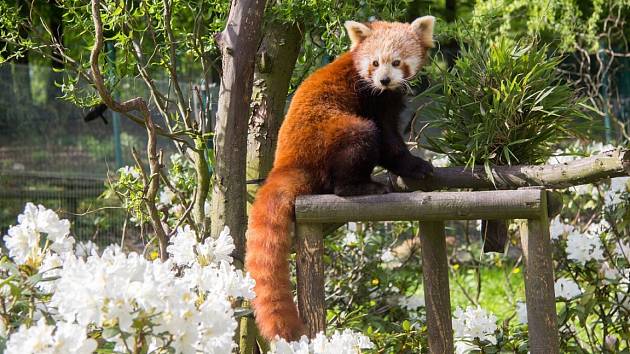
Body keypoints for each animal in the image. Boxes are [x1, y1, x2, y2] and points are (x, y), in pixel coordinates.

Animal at [248, 15, 440, 340]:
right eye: (375, 63)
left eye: (396, 62)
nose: (384, 80)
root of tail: (286, 163)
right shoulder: (371, 100)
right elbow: (388, 142)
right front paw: (414, 165)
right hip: (335, 132)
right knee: (359, 141)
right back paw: (363, 186)